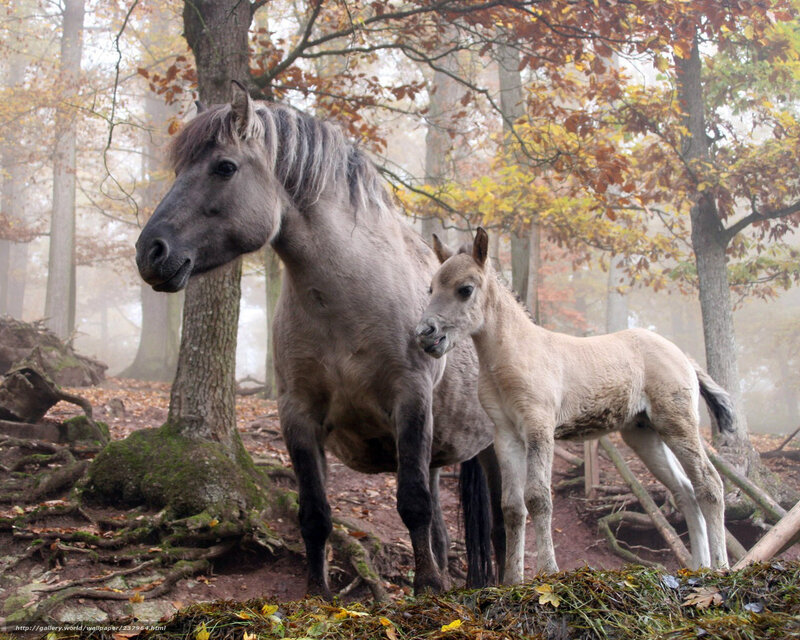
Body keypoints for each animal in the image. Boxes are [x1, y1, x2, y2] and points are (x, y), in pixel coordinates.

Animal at [135, 84, 504, 597]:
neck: (346, 303)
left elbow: (411, 503)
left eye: (224, 167)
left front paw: (428, 589)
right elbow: (315, 514)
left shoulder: (410, 399)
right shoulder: (298, 413)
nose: (150, 253)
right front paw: (318, 593)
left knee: (503, 524)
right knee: (443, 526)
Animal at [415, 227, 732, 583]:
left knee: (709, 484)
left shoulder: (539, 428)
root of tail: (685, 358)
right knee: (685, 492)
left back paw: (720, 566)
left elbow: (538, 498)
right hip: (644, 434)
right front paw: (512, 581)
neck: (515, 354)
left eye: (465, 289)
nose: (426, 334)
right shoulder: (506, 436)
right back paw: (698, 567)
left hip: (677, 424)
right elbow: (512, 506)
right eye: (431, 288)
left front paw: (548, 572)